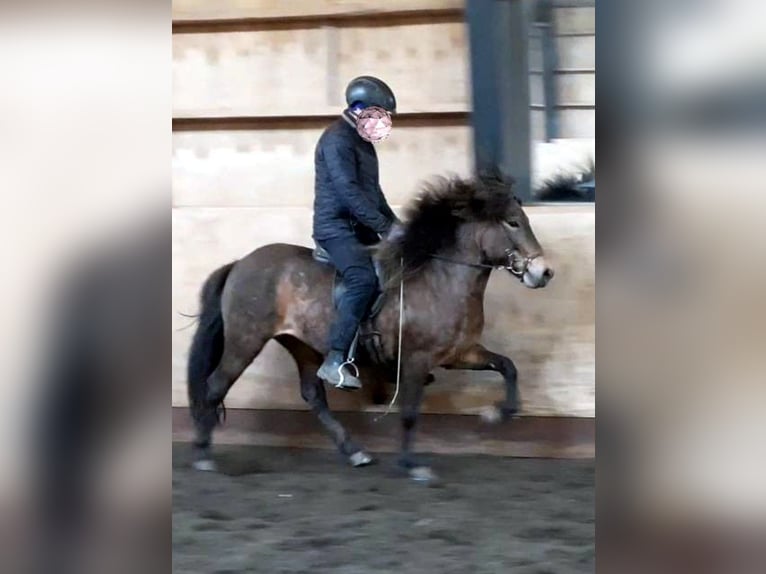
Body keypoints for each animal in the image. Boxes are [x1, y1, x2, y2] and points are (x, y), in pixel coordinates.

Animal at [189, 173, 556, 484]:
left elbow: (508, 366)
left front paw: (499, 413)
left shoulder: (461, 353)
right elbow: (409, 413)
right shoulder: (416, 360)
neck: (442, 280)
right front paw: (412, 465)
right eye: (513, 222)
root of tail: (240, 263)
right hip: (245, 340)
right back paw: (203, 454)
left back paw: (355, 452)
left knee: (313, 395)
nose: (544, 272)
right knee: (214, 386)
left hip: (302, 346)